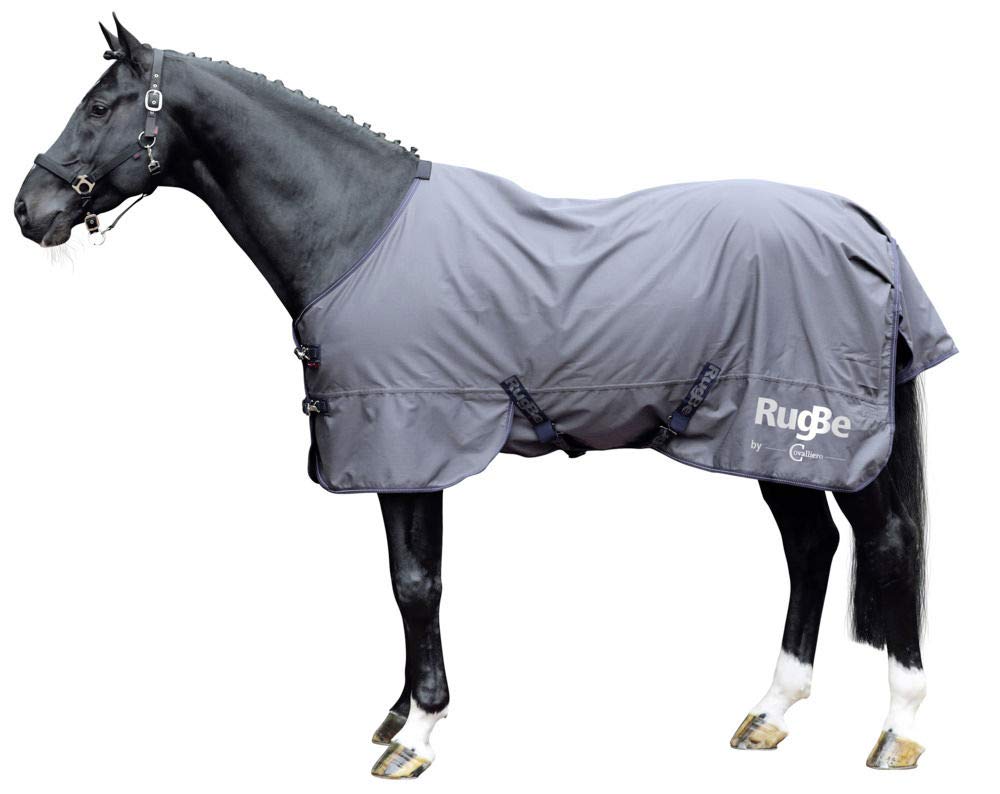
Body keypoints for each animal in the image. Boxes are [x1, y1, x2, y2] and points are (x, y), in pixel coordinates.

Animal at [14, 16, 956, 778]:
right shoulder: (395, 450)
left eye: (99, 106)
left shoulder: (412, 440)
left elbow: (416, 583)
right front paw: (398, 712)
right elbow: (403, 582)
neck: (355, 232)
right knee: (810, 547)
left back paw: (898, 729)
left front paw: (418, 733)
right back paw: (770, 712)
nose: (30, 208)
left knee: (890, 543)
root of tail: (863, 226)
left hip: (823, 434)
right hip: (763, 441)